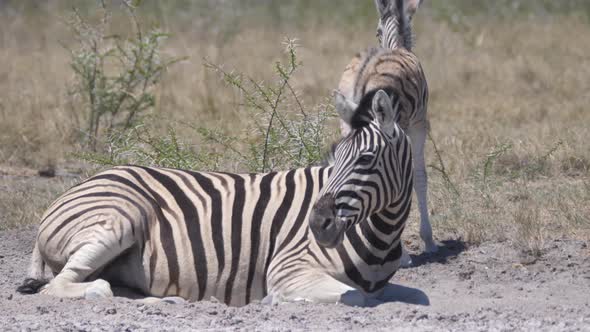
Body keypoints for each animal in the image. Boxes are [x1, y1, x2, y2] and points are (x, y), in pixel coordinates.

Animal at [19, 89, 416, 306]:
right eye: (333, 158)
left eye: (365, 159)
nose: (318, 225)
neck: (380, 238)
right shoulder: (289, 266)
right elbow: (355, 296)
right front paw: (274, 299)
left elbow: (404, 295)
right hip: (120, 219)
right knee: (68, 285)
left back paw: (170, 301)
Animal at [336, 0, 438, 262]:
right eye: (377, 32)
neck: (397, 44)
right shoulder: (417, 125)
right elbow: (419, 177)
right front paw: (428, 240)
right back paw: (400, 255)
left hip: (348, 127)